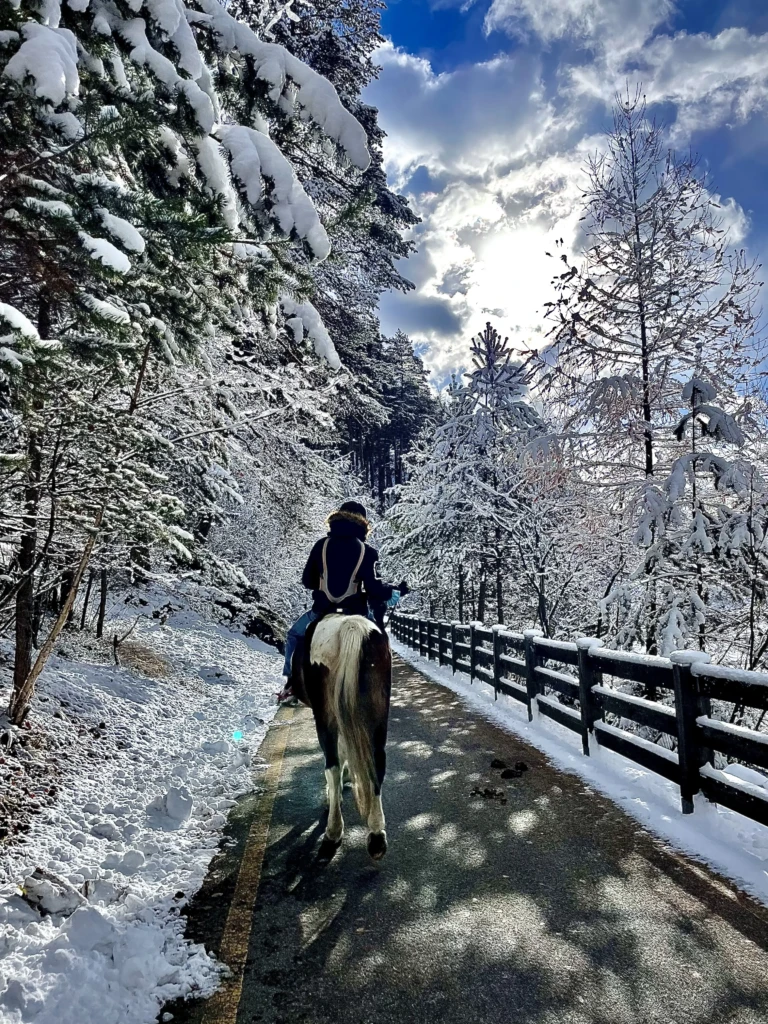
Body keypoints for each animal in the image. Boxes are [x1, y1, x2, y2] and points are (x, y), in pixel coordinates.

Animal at [290, 613, 392, 860]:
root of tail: (351, 626)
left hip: (325, 715)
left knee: (332, 766)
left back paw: (333, 831)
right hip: (377, 714)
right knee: (377, 762)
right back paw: (377, 835)